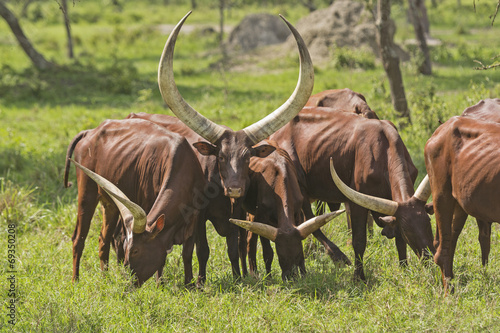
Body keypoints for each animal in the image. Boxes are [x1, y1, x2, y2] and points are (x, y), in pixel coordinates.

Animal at [64, 119, 205, 286]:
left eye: (136, 251)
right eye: (127, 249)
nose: (128, 282)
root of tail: (90, 132)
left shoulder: (195, 217)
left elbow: (187, 252)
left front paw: (190, 284)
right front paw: (160, 284)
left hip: (110, 205)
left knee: (103, 241)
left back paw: (105, 279)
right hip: (86, 193)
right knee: (78, 238)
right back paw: (75, 280)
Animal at [227, 139, 348, 278]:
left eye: (298, 254)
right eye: (281, 256)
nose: (291, 277)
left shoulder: (297, 214)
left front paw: (304, 274)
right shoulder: (262, 217)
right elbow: (268, 253)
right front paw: (268, 277)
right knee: (246, 240)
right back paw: (251, 273)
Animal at [268, 107, 436, 280]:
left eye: (429, 223)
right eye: (408, 230)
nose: (430, 258)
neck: (385, 149)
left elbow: (399, 240)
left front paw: (404, 268)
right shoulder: (357, 203)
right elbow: (359, 241)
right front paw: (358, 277)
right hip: (299, 189)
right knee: (310, 220)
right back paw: (337, 256)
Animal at [424, 115, 500, 292]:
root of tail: (443, 127)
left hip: (459, 203)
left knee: (449, 241)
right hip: (441, 194)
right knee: (441, 250)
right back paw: (449, 292)